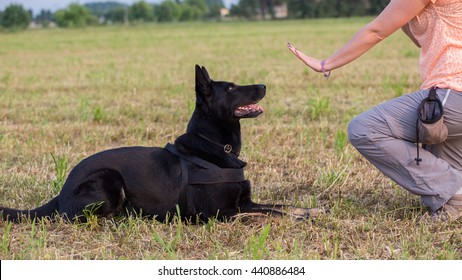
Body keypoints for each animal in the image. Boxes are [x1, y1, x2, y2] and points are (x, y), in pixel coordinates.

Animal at [0, 65, 318, 223]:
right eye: (231, 88)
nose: (264, 85)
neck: (216, 147)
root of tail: (63, 190)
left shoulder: (244, 201)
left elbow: (278, 205)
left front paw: (307, 211)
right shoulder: (220, 213)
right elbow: (268, 213)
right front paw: (296, 219)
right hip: (108, 179)